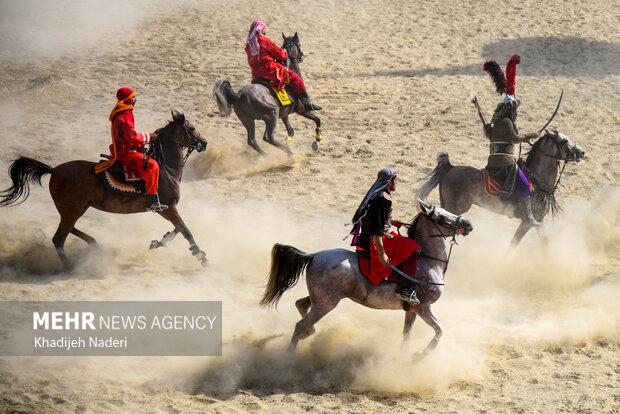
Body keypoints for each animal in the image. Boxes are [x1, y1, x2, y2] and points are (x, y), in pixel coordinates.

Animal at [0, 110, 208, 268]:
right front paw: (200, 255)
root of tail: (54, 170)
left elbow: (178, 229)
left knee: (69, 229)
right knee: (59, 238)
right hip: (73, 209)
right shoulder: (167, 207)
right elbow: (185, 230)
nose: (204, 143)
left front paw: (160, 242)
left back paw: (93, 245)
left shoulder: (169, 208)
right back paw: (69, 266)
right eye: (191, 128)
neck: (165, 168)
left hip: (75, 209)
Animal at [260, 201, 472, 352]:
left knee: (301, 305)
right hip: (325, 304)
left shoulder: (412, 310)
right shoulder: (423, 307)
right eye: (441, 217)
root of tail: (312, 255)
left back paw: (309, 332)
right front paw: (420, 356)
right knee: (299, 325)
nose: (468, 224)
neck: (428, 261)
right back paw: (289, 356)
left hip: (321, 299)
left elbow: (406, 336)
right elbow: (440, 330)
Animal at [414, 129, 584, 246]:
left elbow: (545, 243)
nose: (581, 152)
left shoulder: (540, 222)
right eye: (563, 141)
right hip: (455, 208)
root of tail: (451, 167)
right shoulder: (528, 222)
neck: (537, 182)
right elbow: (513, 244)